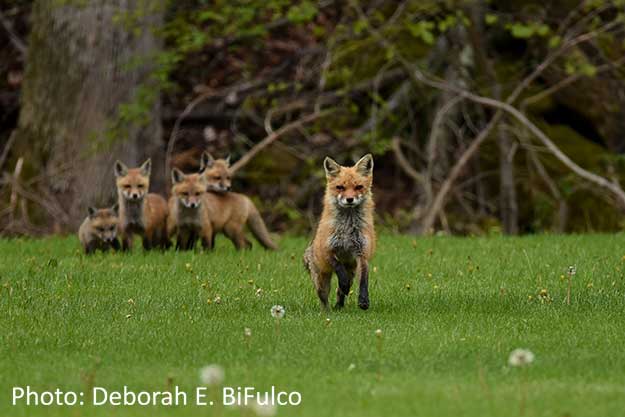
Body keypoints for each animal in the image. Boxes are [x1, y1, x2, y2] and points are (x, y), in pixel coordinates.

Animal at [304, 154, 376, 310]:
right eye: (340, 187)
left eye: (358, 187)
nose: (349, 199)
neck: (348, 228)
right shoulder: (327, 250)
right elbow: (338, 266)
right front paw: (344, 282)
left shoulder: (362, 252)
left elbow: (364, 279)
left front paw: (364, 300)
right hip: (321, 280)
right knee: (324, 298)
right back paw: (328, 312)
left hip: (352, 271)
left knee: (339, 292)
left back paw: (339, 306)